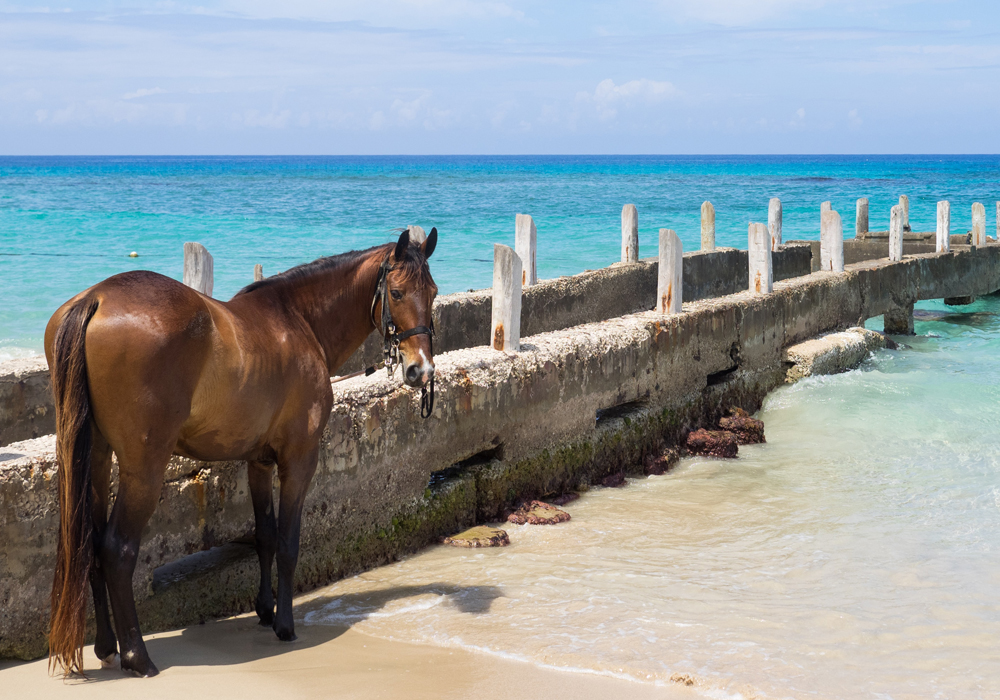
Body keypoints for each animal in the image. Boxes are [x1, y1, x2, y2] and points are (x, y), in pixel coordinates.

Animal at [44, 230, 438, 680]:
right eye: (397, 292)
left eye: (433, 292)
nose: (422, 372)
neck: (299, 322)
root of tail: (96, 298)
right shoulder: (299, 460)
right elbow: (287, 543)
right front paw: (284, 624)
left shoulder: (259, 461)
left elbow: (264, 537)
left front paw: (265, 609)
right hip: (144, 470)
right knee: (116, 549)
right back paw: (136, 656)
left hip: (95, 458)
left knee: (90, 546)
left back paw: (107, 647)